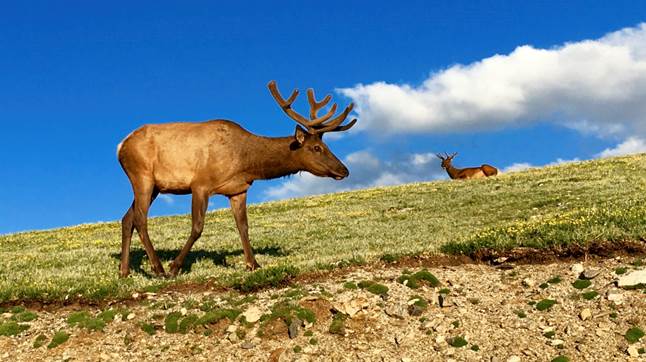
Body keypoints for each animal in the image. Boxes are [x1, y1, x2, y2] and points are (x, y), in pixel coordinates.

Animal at [117, 80, 360, 276]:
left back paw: (124, 271)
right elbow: (197, 227)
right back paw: (158, 268)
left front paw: (253, 264)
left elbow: (243, 226)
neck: (245, 163)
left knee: (127, 218)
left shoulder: (238, 189)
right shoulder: (200, 184)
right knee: (140, 219)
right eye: (317, 148)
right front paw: (175, 267)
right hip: (142, 175)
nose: (344, 170)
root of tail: (121, 146)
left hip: (156, 186)